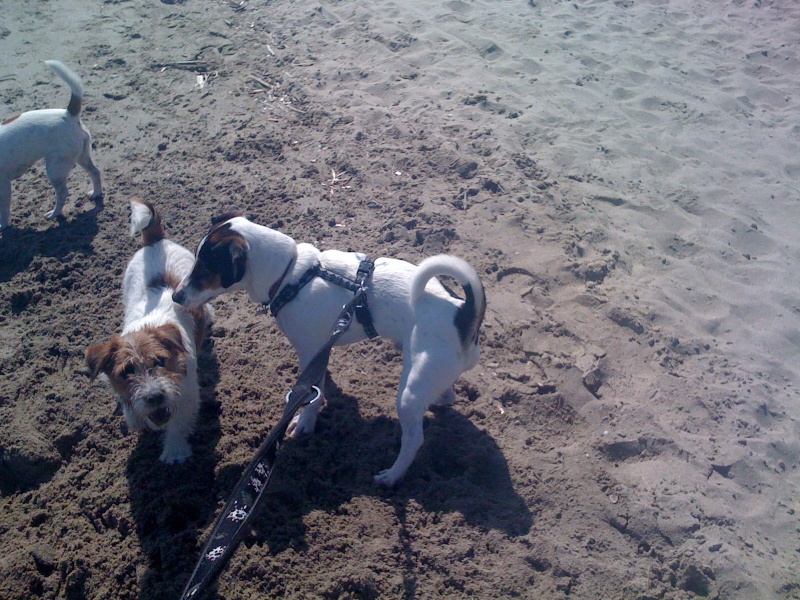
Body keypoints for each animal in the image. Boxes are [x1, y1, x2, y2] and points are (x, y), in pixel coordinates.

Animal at [0, 59, 103, 231]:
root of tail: (69, 114)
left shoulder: (3, 184)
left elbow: (4, 211)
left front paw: (3, 226)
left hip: (55, 169)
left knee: (62, 193)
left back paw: (54, 214)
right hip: (81, 156)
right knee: (95, 172)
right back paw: (96, 193)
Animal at [85, 200, 211, 464]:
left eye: (160, 362)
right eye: (127, 372)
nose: (154, 397)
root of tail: (155, 240)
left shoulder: (186, 393)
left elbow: (178, 423)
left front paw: (174, 450)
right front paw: (135, 418)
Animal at [172, 213, 484, 490]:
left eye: (205, 270)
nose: (175, 296)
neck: (290, 274)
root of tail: (464, 311)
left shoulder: (309, 351)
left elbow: (311, 395)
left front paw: (305, 423)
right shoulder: (320, 349)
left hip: (410, 391)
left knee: (414, 439)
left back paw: (393, 475)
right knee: (446, 394)